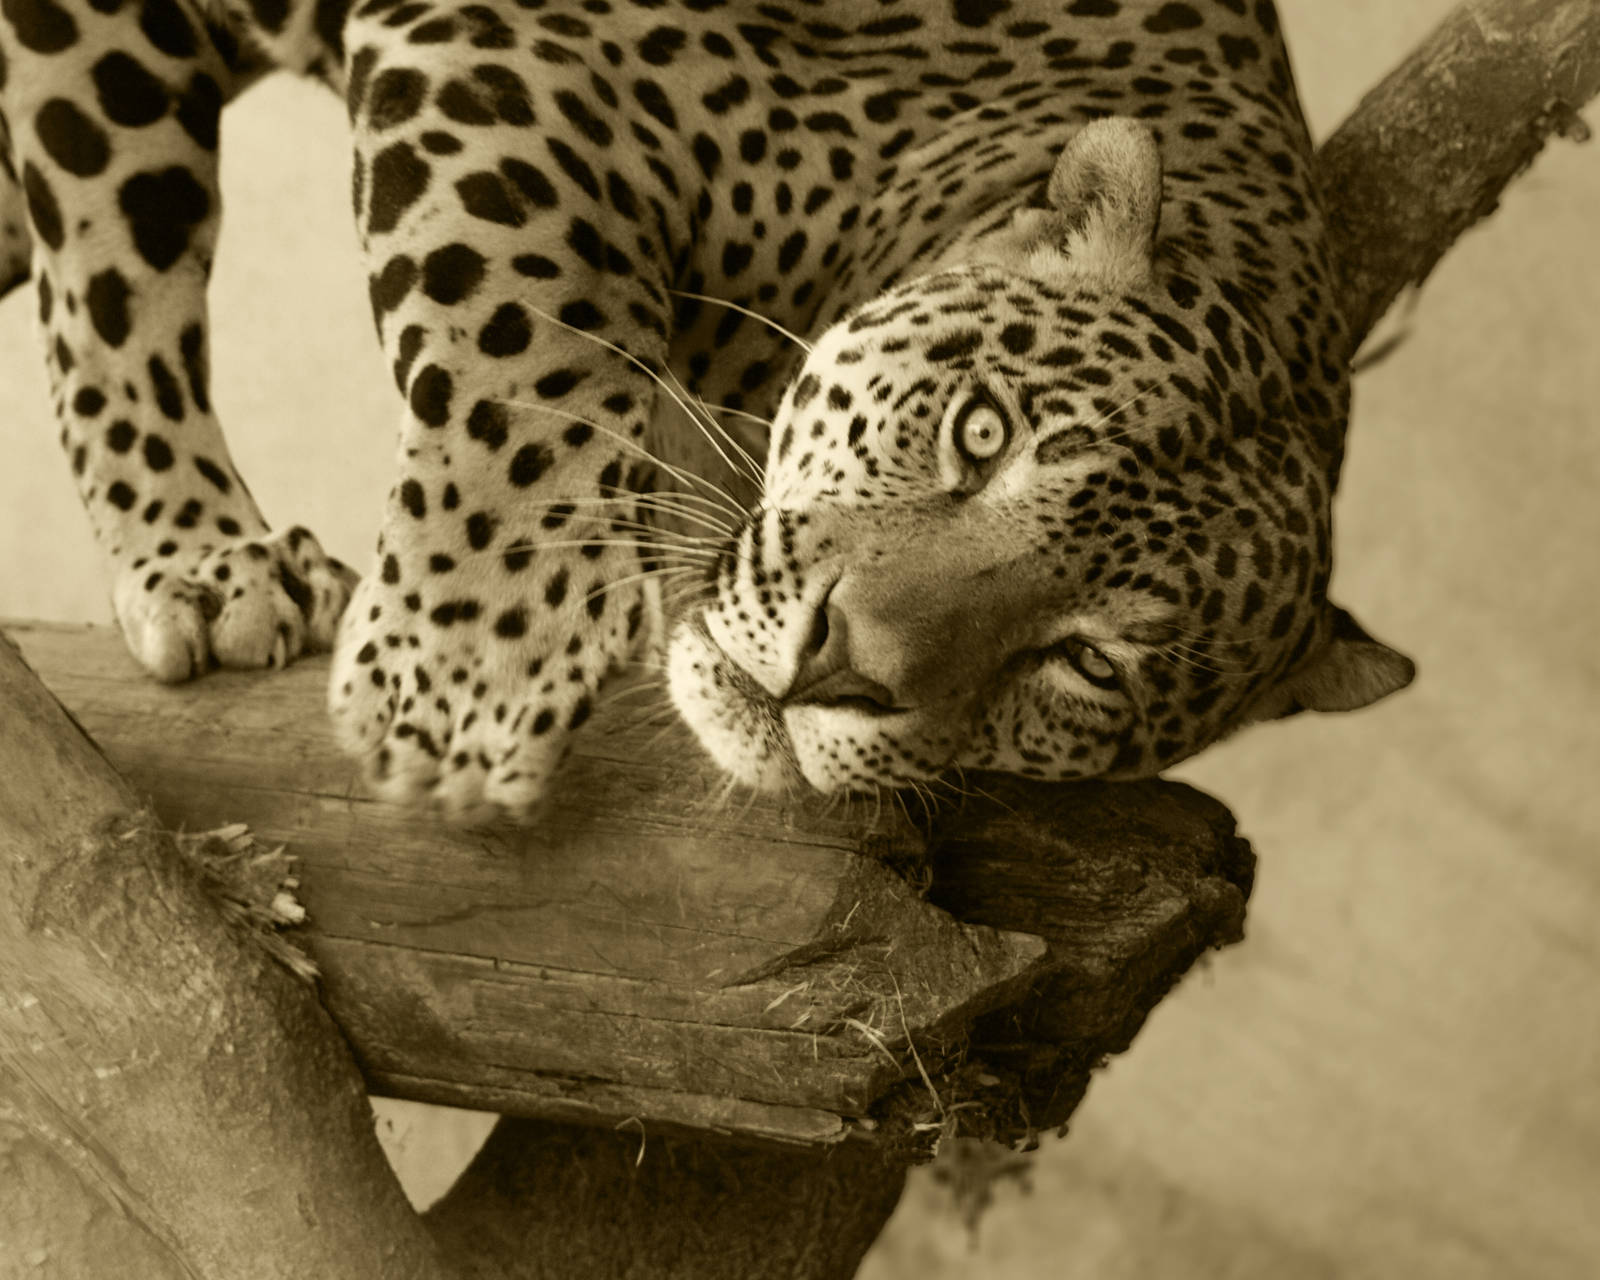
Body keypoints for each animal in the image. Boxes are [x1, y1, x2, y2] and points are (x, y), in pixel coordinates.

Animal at [1, 0, 1413, 819]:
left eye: (1089, 664)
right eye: (980, 434)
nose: (838, 669)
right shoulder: (517, 43)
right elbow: (520, 328)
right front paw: (468, 679)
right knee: (116, 260)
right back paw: (203, 556)